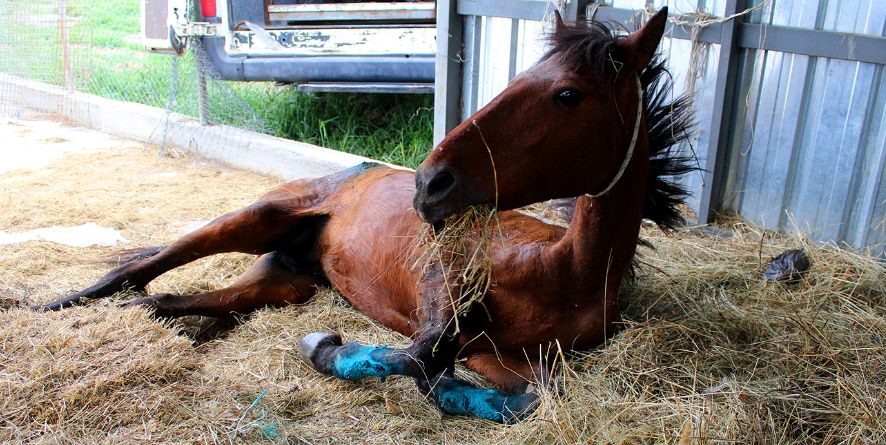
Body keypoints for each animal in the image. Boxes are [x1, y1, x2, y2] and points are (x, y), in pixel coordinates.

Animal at [34, 7, 692, 424]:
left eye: (567, 94)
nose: (430, 183)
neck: (561, 272)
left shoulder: (505, 356)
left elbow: (523, 391)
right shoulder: (440, 292)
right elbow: (421, 361)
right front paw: (325, 348)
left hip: (282, 283)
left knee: (169, 300)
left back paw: (163, 318)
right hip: (255, 218)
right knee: (140, 268)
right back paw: (44, 306)